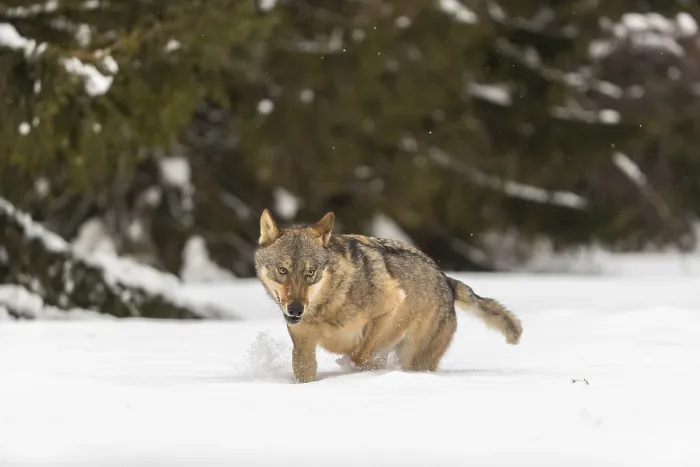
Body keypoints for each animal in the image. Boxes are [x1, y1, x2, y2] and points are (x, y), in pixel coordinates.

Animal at [253, 209, 523, 383]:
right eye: (282, 270)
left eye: (310, 272)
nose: (295, 310)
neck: (327, 305)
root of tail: (447, 280)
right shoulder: (304, 350)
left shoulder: (392, 302)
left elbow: (359, 356)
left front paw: (370, 370)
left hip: (415, 357)